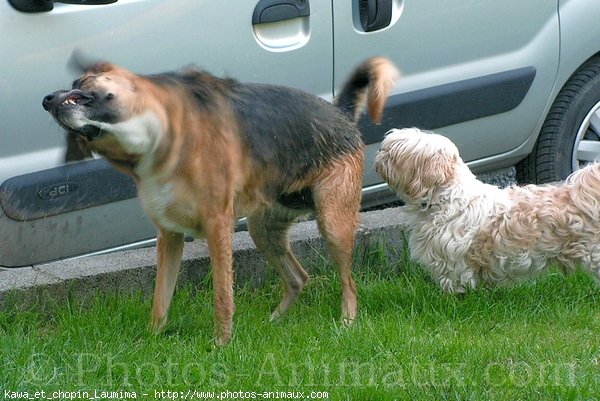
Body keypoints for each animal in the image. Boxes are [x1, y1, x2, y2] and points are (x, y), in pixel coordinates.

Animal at [43, 57, 398, 344]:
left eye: (78, 84)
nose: (46, 99)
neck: (158, 143)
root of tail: (340, 114)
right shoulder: (169, 237)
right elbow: (160, 300)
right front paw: (152, 339)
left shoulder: (218, 228)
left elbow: (222, 296)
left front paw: (221, 344)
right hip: (263, 231)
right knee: (299, 278)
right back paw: (274, 321)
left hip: (332, 224)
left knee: (348, 284)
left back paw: (347, 322)